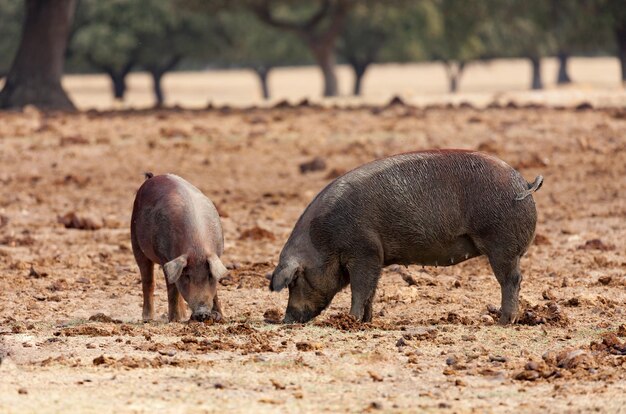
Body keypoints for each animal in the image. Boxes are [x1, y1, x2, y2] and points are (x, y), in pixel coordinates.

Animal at [130, 173, 228, 322]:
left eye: (209, 276)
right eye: (187, 276)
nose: (202, 313)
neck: (197, 248)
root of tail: (153, 177)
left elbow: (214, 290)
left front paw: (220, 317)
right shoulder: (165, 258)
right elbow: (172, 288)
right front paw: (174, 321)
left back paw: (183, 316)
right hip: (135, 241)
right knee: (148, 281)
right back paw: (148, 318)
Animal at [270, 150, 540, 326]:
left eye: (294, 281)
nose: (286, 319)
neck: (323, 239)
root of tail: (523, 184)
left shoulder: (365, 250)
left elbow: (360, 288)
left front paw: (351, 321)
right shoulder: (375, 259)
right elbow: (370, 291)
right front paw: (366, 321)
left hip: (501, 244)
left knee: (512, 280)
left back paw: (503, 322)